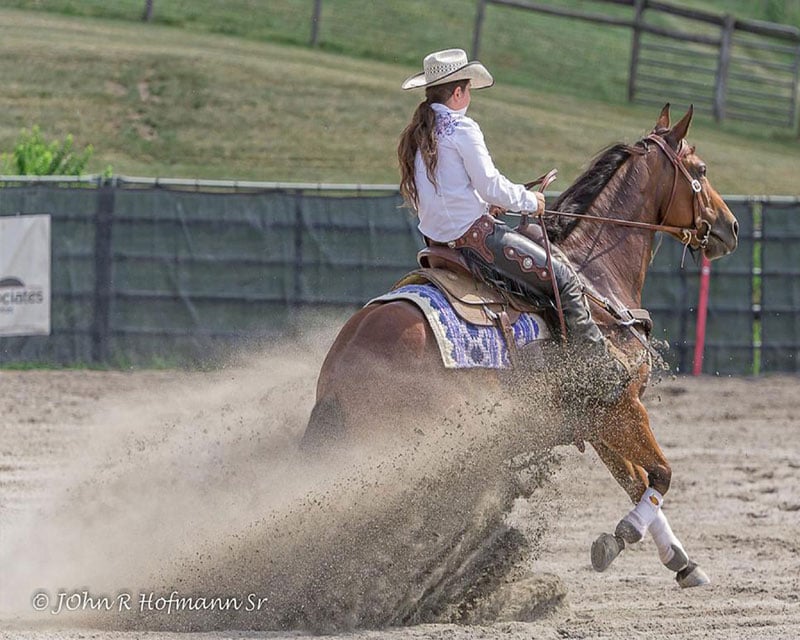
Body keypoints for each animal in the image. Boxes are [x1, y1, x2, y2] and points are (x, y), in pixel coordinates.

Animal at [300, 105, 739, 604]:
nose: (730, 227)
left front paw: (683, 561)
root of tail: (338, 373)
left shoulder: (599, 419)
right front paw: (620, 537)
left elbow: (635, 481)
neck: (594, 275)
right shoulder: (623, 406)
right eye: (700, 170)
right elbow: (660, 475)